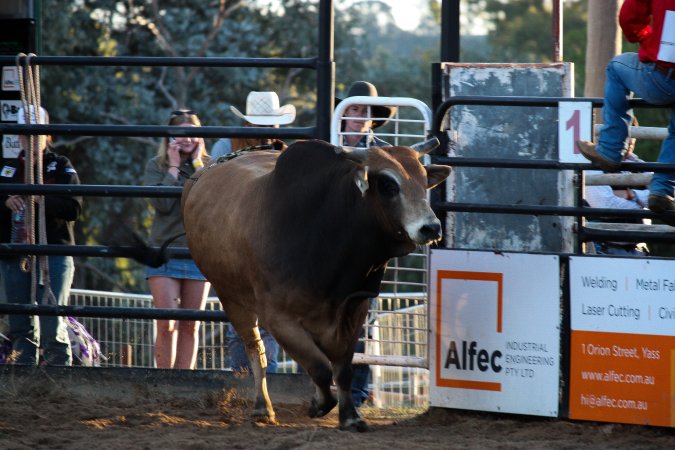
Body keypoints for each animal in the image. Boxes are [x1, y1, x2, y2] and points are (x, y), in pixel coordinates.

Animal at [181, 138, 450, 431]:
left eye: (424, 180)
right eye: (388, 184)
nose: (431, 228)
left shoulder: (354, 309)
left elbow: (342, 370)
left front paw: (350, 416)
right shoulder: (279, 319)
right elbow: (319, 367)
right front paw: (320, 404)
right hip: (231, 296)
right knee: (256, 351)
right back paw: (263, 407)